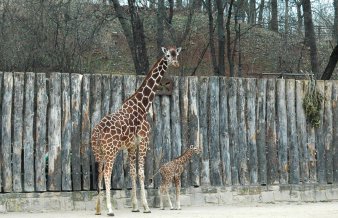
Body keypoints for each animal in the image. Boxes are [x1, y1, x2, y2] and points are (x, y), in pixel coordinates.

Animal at [91, 46, 182, 215]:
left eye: (176, 54)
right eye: (167, 55)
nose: (176, 63)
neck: (142, 106)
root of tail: (97, 132)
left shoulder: (131, 145)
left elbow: (133, 173)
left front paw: (135, 206)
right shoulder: (144, 141)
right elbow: (141, 173)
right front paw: (146, 207)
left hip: (98, 151)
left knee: (100, 172)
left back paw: (98, 209)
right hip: (111, 150)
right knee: (106, 172)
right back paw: (110, 209)